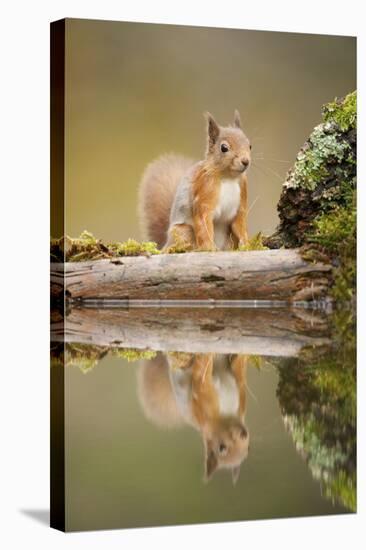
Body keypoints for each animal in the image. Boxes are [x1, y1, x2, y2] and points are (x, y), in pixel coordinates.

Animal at [138, 111, 252, 251]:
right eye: (224, 148)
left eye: (250, 145)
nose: (245, 161)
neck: (228, 177)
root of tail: (167, 242)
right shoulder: (204, 193)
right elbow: (204, 224)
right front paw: (209, 248)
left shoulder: (241, 198)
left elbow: (240, 226)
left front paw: (247, 244)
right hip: (184, 232)